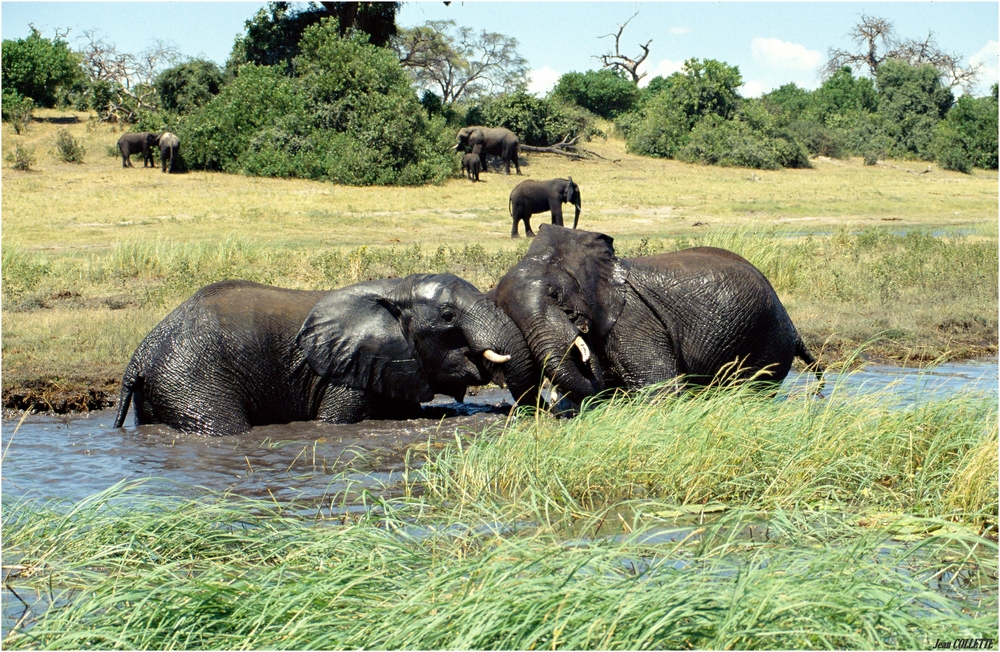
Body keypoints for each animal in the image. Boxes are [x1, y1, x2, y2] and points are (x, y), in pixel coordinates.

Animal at [113, 272, 540, 436]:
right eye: (449, 317)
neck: (396, 287)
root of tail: (140, 353)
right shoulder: (348, 374)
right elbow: (335, 422)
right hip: (191, 377)